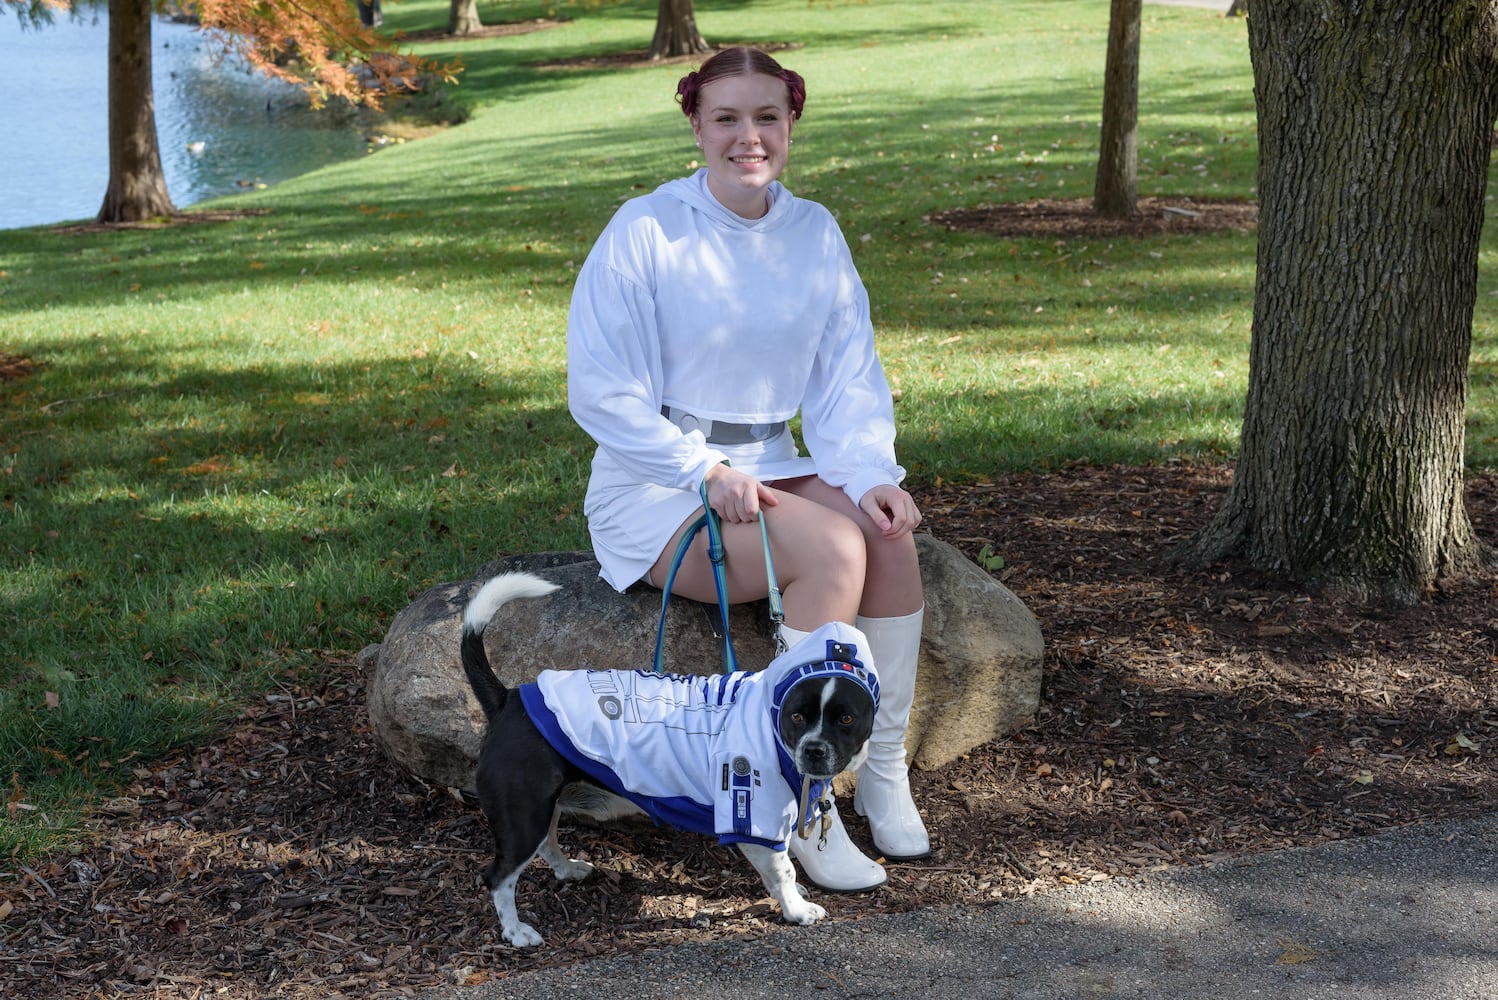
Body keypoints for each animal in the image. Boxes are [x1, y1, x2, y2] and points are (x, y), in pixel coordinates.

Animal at [455, 568, 874, 946]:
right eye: (797, 716)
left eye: (846, 718)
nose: (814, 750)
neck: (768, 722)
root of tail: (507, 699)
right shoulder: (752, 818)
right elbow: (783, 869)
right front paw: (797, 911)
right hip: (523, 816)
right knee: (499, 877)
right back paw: (516, 933)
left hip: (542, 808)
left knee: (546, 843)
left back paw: (567, 870)